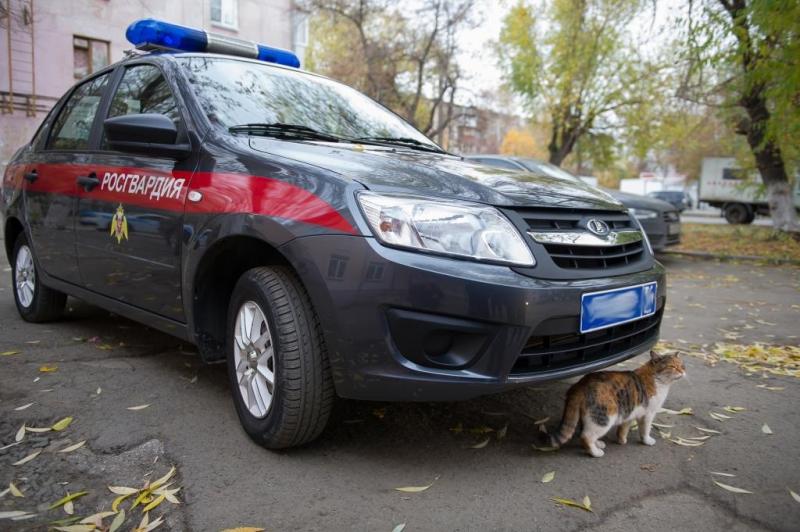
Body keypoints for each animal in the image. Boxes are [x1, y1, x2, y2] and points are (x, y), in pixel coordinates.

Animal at [552, 350, 688, 458]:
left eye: (682, 365)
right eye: (672, 366)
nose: (682, 371)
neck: (657, 379)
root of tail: (579, 385)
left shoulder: (631, 412)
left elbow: (624, 427)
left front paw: (621, 440)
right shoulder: (648, 414)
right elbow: (645, 429)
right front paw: (647, 441)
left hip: (591, 417)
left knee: (585, 432)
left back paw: (598, 444)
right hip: (605, 418)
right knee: (586, 436)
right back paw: (595, 452)